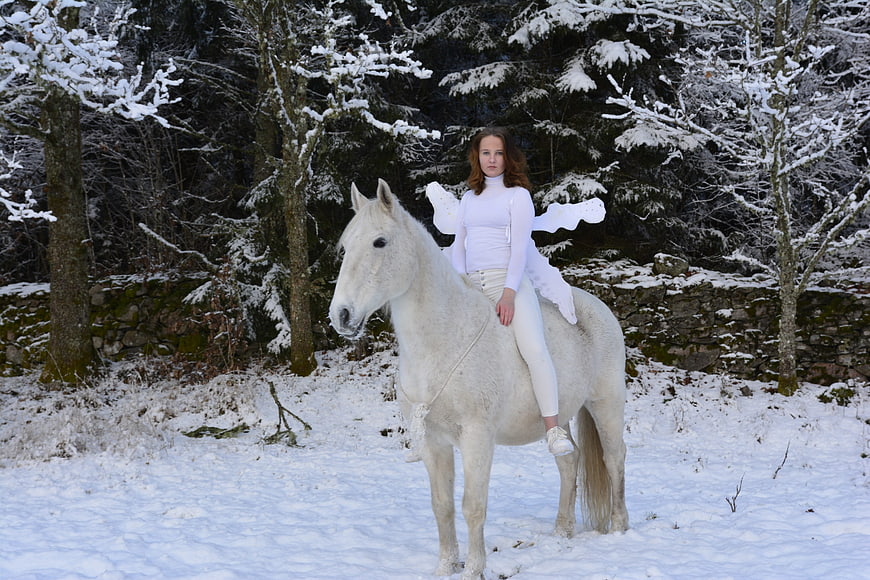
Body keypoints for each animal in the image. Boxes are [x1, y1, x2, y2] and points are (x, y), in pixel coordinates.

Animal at [329, 179, 629, 579]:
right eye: (345, 247)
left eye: (380, 242)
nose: (342, 316)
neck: (444, 340)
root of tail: (597, 307)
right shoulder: (435, 443)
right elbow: (442, 505)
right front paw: (445, 567)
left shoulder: (476, 438)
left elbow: (473, 505)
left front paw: (473, 569)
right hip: (560, 415)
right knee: (570, 460)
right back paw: (562, 530)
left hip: (606, 405)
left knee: (614, 459)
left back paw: (619, 528)